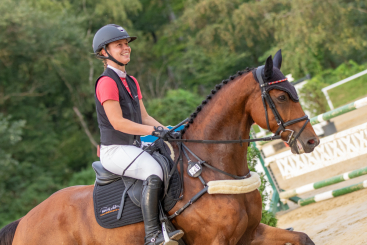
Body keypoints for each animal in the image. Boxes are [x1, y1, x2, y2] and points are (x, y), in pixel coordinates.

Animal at [1, 50, 320, 244]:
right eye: (281, 97)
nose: (311, 141)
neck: (210, 169)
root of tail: (24, 221)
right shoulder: (215, 241)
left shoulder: (251, 233)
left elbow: (304, 238)